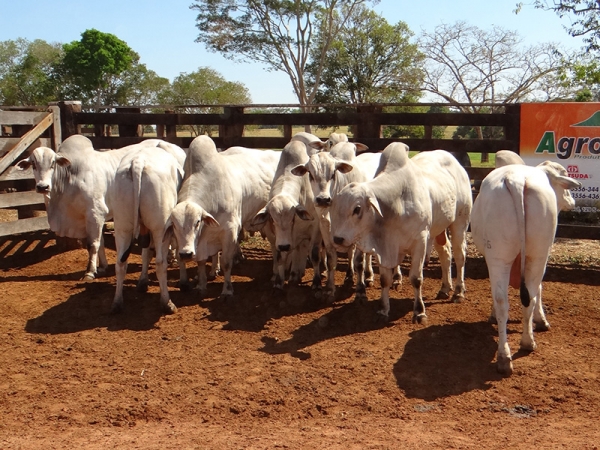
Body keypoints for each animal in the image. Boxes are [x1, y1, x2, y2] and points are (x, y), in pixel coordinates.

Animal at [110, 146, 184, 314]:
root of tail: (138, 162)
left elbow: (145, 253)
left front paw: (142, 282)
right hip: (160, 227)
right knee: (160, 263)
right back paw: (167, 302)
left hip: (122, 227)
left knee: (120, 264)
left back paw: (117, 302)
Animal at [162, 135, 278, 300]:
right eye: (174, 225)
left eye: (197, 222)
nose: (185, 254)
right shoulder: (204, 239)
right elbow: (201, 261)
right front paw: (201, 285)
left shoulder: (230, 231)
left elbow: (226, 263)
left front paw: (227, 290)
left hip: (270, 223)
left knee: (275, 247)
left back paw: (276, 274)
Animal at [251, 139, 324, 290]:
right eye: (273, 220)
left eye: (292, 218)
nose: (284, 246)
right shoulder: (275, 236)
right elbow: (280, 257)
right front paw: (278, 281)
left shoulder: (314, 227)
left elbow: (314, 254)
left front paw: (316, 282)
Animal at [328, 144, 474, 324]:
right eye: (335, 208)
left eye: (357, 209)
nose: (338, 238)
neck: (394, 205)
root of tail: (457, 164)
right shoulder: (384, 248)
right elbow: (385, 280)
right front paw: (383, 309)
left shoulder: (420, 241)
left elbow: (416, 279)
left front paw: (419, 312)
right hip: (439, 227)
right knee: (445, 252)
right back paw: (445, 288)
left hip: (460, 222)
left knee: (460, 256)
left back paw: (459, 292)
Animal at [472, 160, 580, 374]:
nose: (572, 201)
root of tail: (516, 180)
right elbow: (539, 288)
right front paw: (541, 320)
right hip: (534, 256)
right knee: (527, 294)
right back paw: (525, 343)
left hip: (501, 257)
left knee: (504, 300)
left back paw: (506, 355)